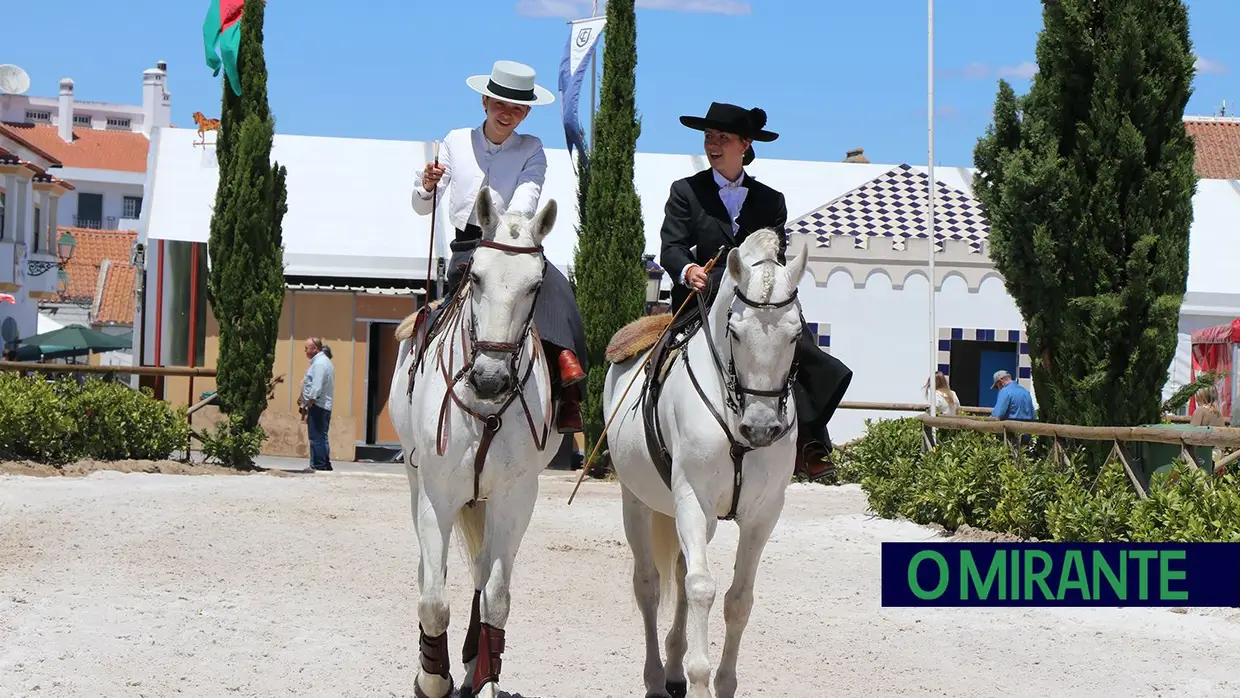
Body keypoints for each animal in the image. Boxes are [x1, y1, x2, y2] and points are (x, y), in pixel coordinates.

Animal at [389, 185, 560, 698]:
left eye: (535, 285)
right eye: (477, 277)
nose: (489, 379)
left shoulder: (515, 498)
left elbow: (497, 597)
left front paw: (485, 676)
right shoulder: (437, 496)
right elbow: (433, 599)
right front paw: (432, 677)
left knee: (482, 574)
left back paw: (472, 663)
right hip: (417, 484)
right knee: (433, 573)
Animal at [602, 230, 813, 698]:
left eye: (796, 334)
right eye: (734, 331)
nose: (760, 428)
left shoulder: (763, 514)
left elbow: (738, 599)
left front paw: (723, 681)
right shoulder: (693, 501)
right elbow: (701, 589)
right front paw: (699, 678)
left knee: (680, 573)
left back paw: (674, 669)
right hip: (636, 502)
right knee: (649, 585)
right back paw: (656, 678)